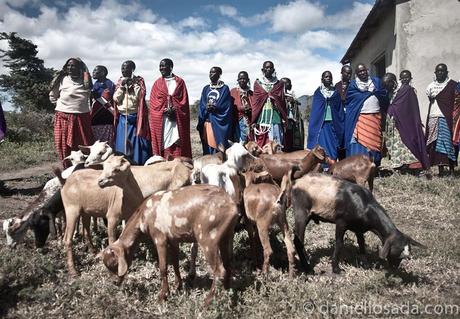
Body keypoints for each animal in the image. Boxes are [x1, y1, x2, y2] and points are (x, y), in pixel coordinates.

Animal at [100, 186, 237, 306]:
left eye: (113, 263)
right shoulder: (173, 240)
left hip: (208, 238)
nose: (114, 282)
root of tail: (232, 206)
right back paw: (228, 294)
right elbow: (175, 262)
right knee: (228, 264)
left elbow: (163, 267)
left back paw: (207, 301)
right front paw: (178, 286)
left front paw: (163, 295)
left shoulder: (159, 238)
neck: (143, 215)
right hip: (226, 236)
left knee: (219, 270)